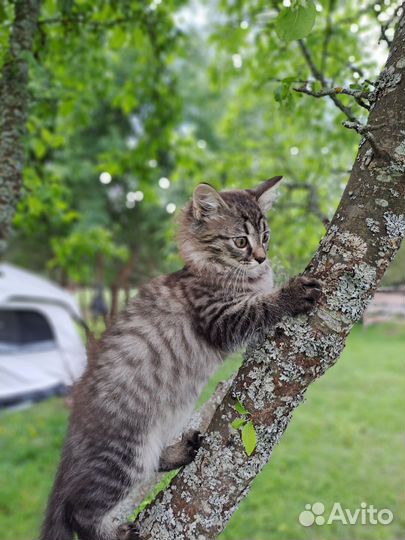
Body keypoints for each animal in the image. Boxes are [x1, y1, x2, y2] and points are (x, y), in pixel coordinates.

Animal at [41, 177, 322, 540]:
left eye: (266, 236)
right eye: (240, 241)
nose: (262, 258)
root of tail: (72, 436)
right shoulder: (220, 319)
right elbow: (260, 306)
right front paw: (292, 292)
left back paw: (178, 451)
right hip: (123, 455)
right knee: (79, 510)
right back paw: (113, 532)